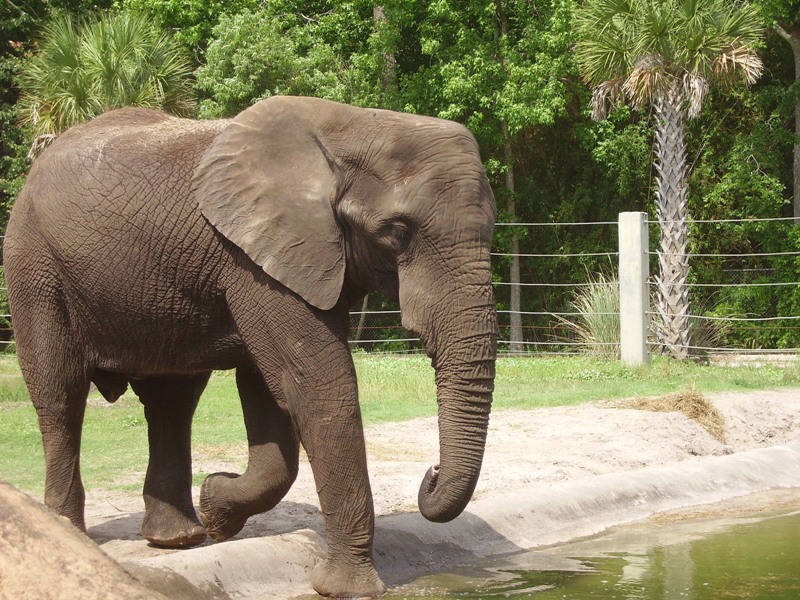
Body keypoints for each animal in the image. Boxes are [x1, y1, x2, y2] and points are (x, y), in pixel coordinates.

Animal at [3, 96, 498, 598]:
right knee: (61, 395)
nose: (430, 474)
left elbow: (269, 390)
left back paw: (179, 537)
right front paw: (349, 589)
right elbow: (316, 384)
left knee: (172, 402)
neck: (354, 124)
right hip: (34, 265)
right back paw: (70, 532)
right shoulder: (252, 257)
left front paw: (217, 505)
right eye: (397, 231)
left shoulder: (284, 255)